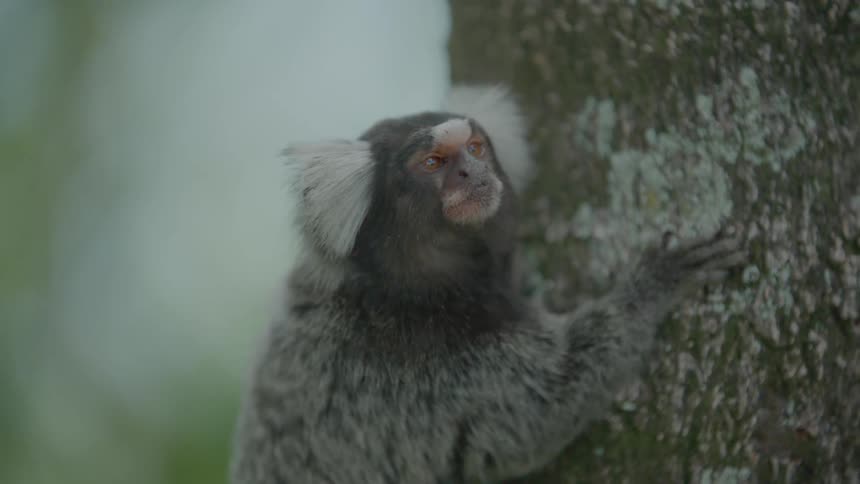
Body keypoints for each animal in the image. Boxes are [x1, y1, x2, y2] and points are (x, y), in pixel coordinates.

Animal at [229, 85, 746, 484]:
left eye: (475, 149)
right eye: (433, 162)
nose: (471, 173)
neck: (401, 291)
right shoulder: (424, 368)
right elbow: (546, 403)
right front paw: (655, 285)